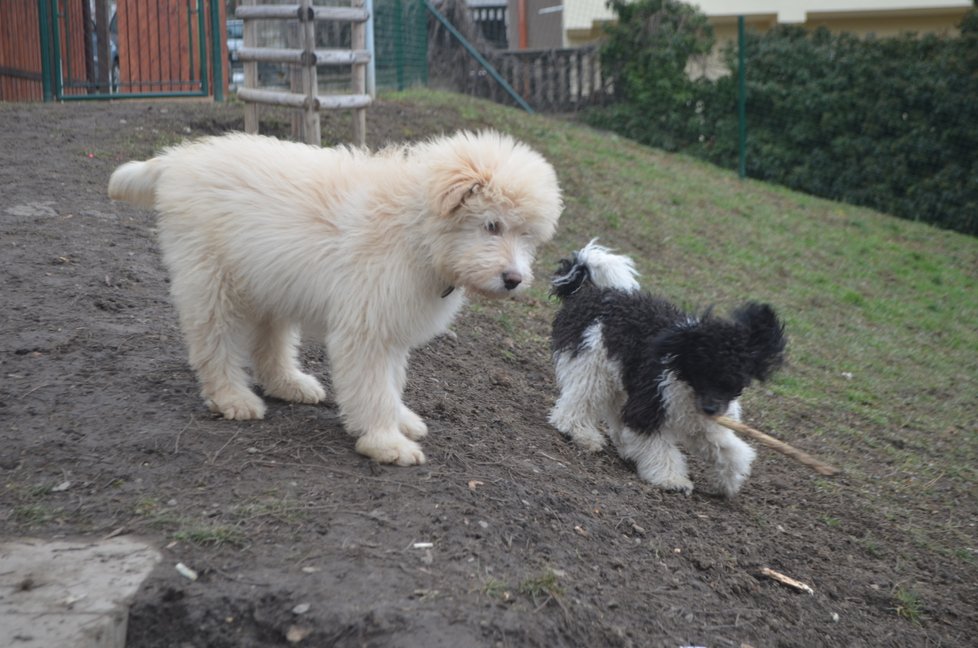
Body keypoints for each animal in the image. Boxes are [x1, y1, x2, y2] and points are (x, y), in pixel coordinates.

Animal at [109, 132, 560, 466]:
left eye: (527, 235)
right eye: (491, 225)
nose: (514, 279)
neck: (415, 227)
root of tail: (177, 160)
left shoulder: (391, 324)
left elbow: (391, 380)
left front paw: (400, 419)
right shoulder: (367, 325)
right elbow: (374, 386)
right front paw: (386, 442)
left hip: (269, 284)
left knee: (269, 343)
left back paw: (290, 384)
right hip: (212, 281)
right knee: (213, 343)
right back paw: (233, 398)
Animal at [548, 240, 784, 498]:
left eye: (734, 379)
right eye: (701, 371)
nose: (711, 408)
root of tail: (591, 294)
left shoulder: (700, 420)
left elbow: (727, 449)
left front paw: (729, 480)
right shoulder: (650, 406)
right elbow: (658, 448)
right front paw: (671, 479)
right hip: (591, 366)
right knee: (578, 403)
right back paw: (581, 434)